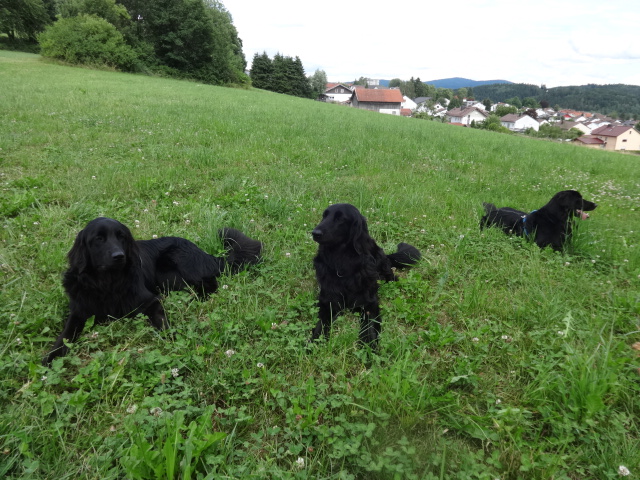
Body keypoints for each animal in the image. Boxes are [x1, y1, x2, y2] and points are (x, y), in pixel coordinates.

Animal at [43, 218, 262, 364]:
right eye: (99, 239)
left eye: (122, 237)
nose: (119, 256)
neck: (108, 283)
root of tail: (206, 254)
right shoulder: (79, 311)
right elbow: (65, 335)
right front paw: (52, 356)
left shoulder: (150, 300)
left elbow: (161, 320)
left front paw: (171, 338)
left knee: (210, 285)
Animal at [308, 202, 420, 348]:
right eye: (324, 216)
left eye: (340, 218)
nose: (314, 233)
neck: (342, 263)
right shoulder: (328, 301)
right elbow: (321, 325)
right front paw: (314, 342)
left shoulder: (369, 304)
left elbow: (369, 327)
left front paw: (369, 346)